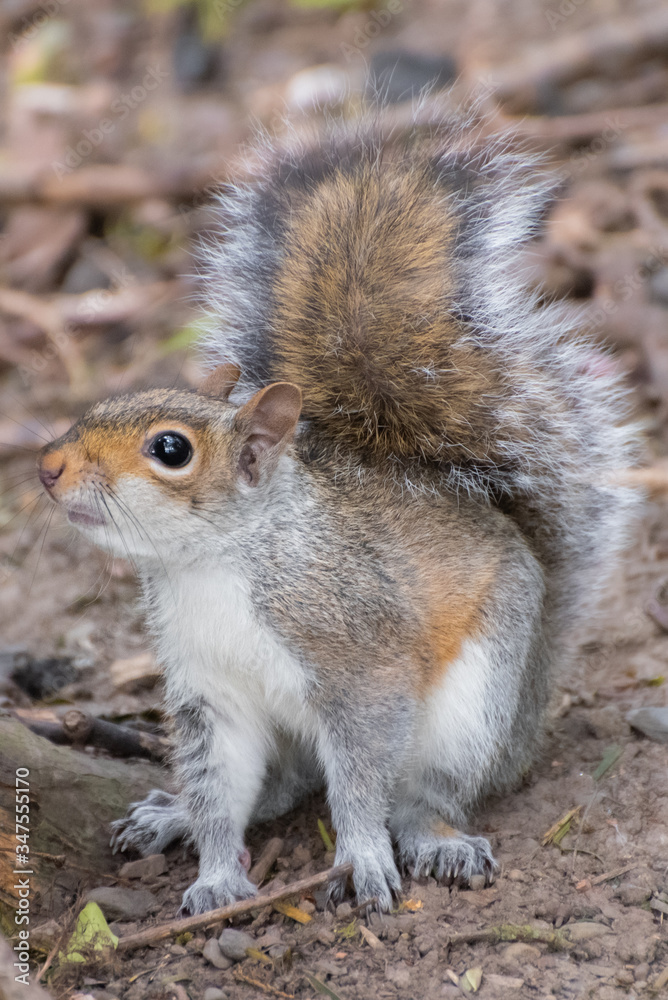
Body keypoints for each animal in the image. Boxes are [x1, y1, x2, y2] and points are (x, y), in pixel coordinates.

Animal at [38, 107, 639, 915]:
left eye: (170, 449)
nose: (47, 468)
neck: (214, 567)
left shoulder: (362, 666)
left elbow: (358, 779)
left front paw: (361, 856)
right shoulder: (212, 696)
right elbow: (219, 793)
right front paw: (215, 873)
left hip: (475, 705)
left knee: (426, 793)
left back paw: (434, 838)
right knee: (280, 785)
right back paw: (172, 815)